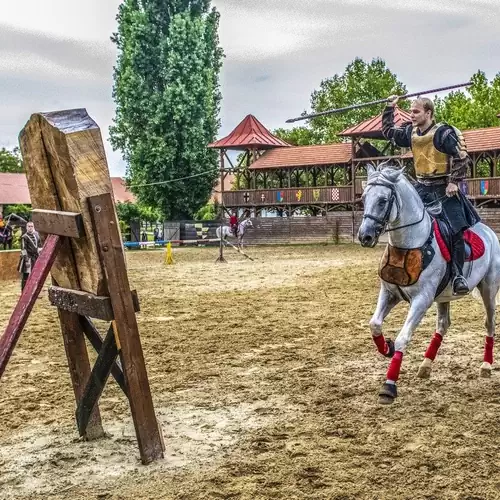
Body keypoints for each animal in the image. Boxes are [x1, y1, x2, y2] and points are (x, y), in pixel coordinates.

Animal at [358, 164, 498, 406]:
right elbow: (374, 324)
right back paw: (425, 365)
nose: (364, 236)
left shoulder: (421, 301)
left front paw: (389, 385)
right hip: (443, 296)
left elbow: (403, 338)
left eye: (383, 200)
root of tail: (489, 232)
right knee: (443, 325)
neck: (410, 243)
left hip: (488, 289)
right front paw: (386, 347)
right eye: (365, 198)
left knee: (489, 324)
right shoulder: (389, 293)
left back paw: (486, 365)